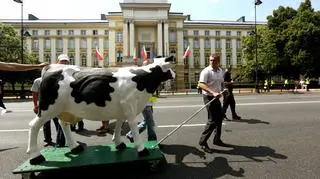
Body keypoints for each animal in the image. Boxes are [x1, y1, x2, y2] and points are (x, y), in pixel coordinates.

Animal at [27, 55, 176, 164]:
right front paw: (141, 150)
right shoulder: (129, 104)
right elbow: (133, 125)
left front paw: (118, 143)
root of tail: (51, 67)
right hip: (47, 108)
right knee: (34, 126)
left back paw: (75, 147)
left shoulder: (122, 108)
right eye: (169, 68)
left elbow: (120, 124)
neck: (143, 78)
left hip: (65, 109)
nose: (174, 74)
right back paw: (36, 157)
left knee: (64, 124)